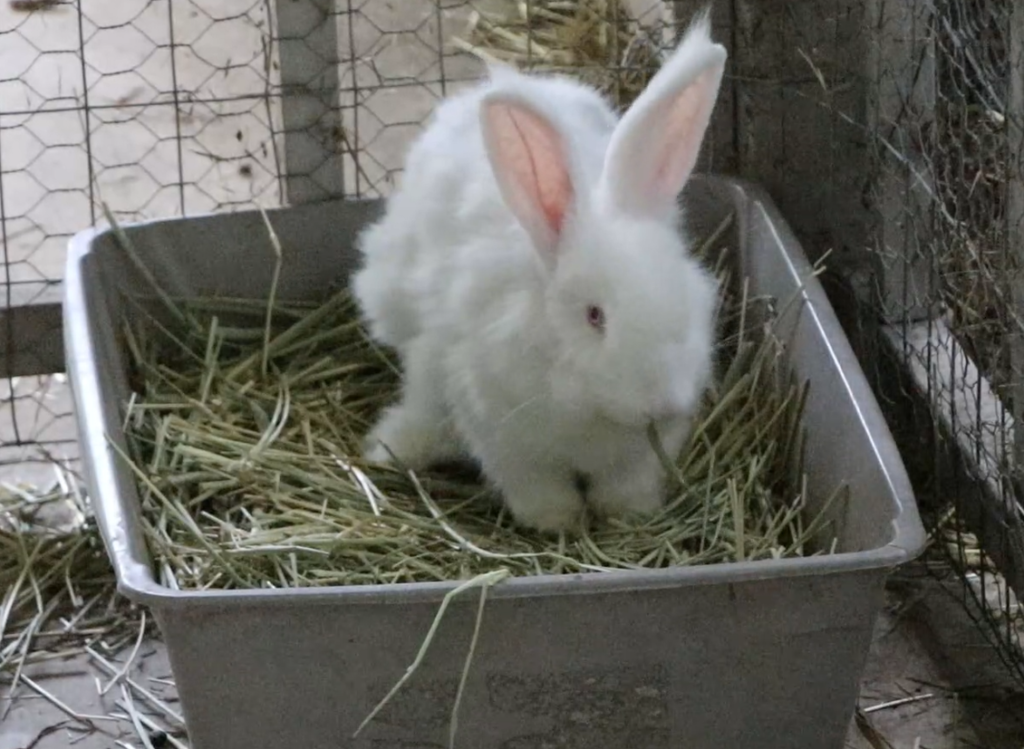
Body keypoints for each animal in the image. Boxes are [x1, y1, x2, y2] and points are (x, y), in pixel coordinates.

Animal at [351, 11, 727, 534]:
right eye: (594, 316)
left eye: (688, 304)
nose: (663, 403)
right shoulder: (505, 438)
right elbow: (535, 488)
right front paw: (558, 523)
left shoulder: (641, 456)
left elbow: (626, 486)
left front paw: (626, 516)